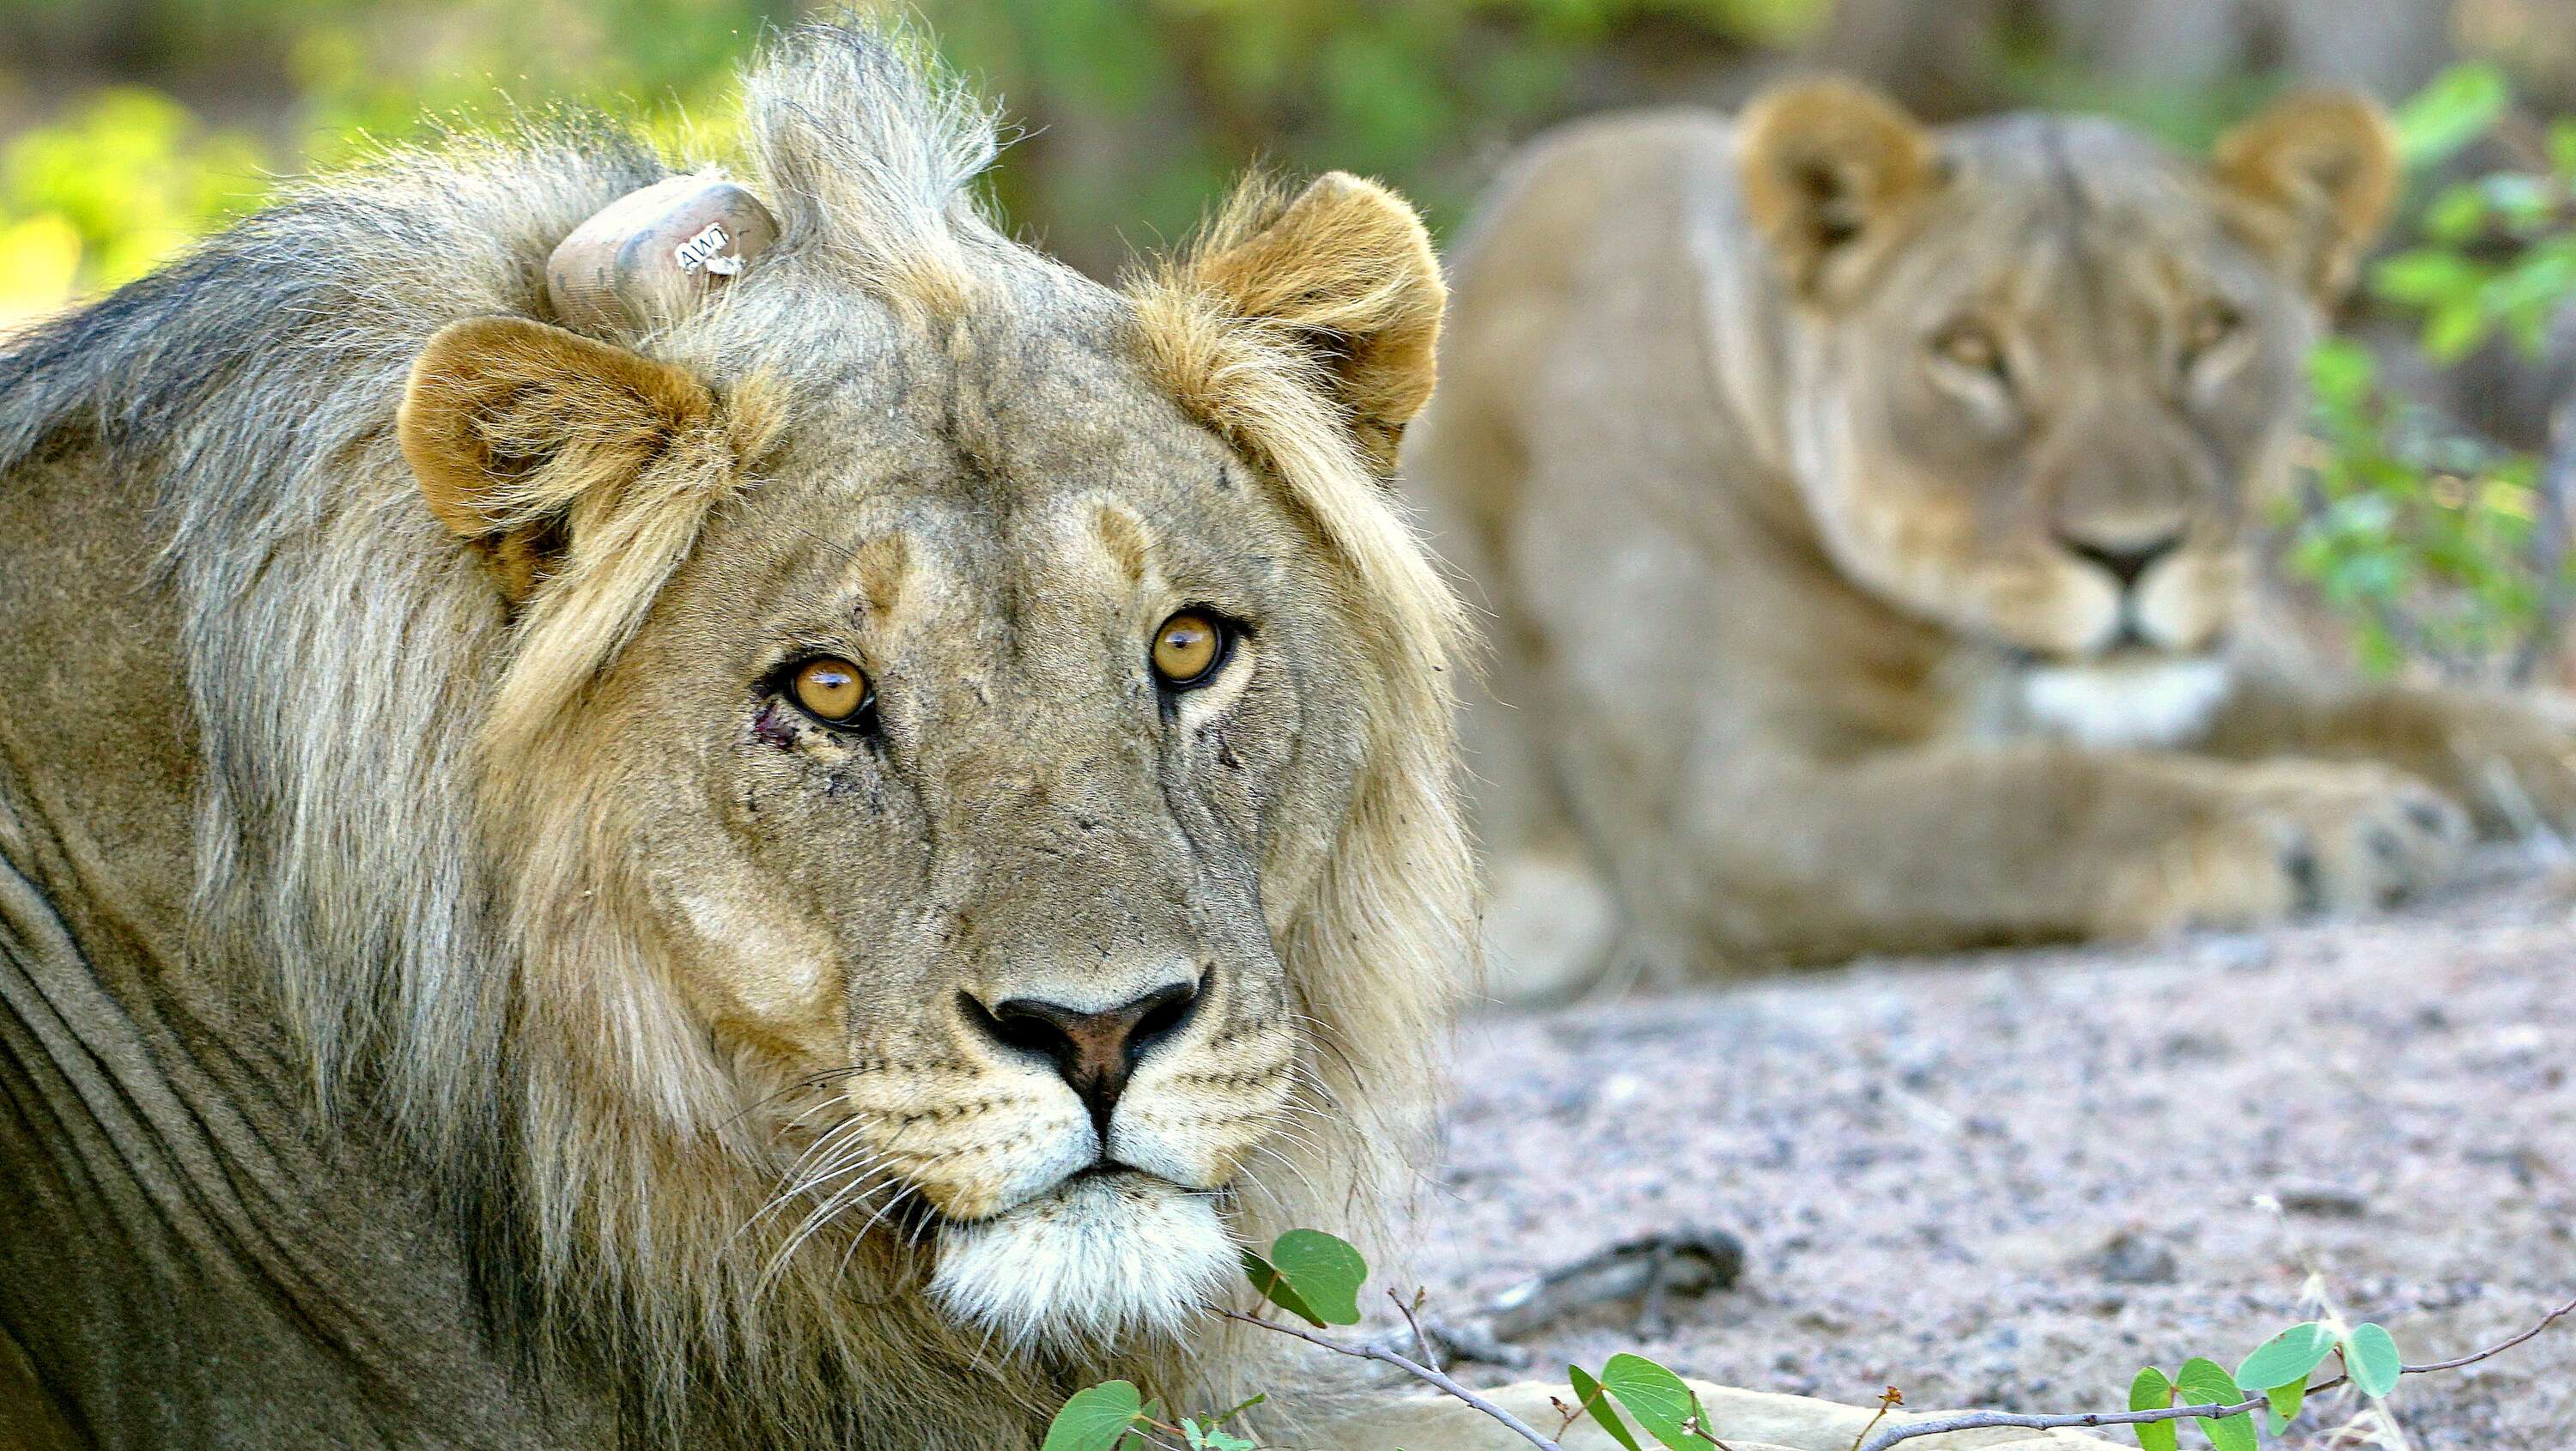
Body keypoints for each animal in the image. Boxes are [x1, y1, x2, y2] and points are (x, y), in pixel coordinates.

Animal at [1422, 76, 2576, 989]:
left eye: (2210, 333)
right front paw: (2311, 823)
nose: (2131, 553)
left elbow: (2410, 708)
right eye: (1970, 351)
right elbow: (2011, 806)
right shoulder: (1716, 820)